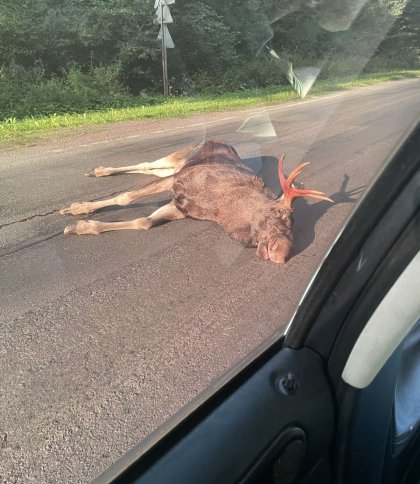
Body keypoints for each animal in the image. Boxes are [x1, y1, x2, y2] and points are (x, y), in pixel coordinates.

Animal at [60, 139, 334, 264]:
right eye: (281, 215)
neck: (223, 210)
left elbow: (143, 222)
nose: (282, 253)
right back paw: (99, 171)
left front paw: (82, 227)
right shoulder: (178, 182)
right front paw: (78, 209)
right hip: (179, 159)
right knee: (149, 163)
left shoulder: (180, 207)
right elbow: (126, 197)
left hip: (175, 166)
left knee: (150, 168)